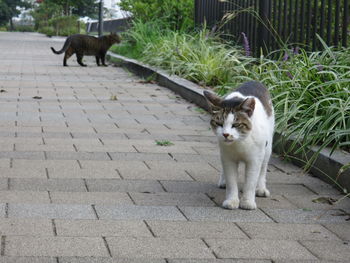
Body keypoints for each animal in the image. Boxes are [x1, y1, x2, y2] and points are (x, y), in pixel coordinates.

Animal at [204, 81, 274, 211]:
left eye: (236, 124)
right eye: (219, 123)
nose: (226, 134)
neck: (240, 142)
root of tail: (253, 81)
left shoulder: (255, 159)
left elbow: (251, 182)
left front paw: (247, 202)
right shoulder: (228, 157)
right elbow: (231, 181)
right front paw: (231, 200)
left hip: (268, 147)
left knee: (263, 168)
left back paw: (261, 188)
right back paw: (223, 181)